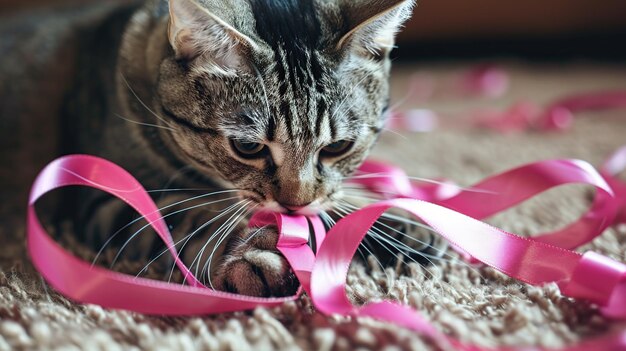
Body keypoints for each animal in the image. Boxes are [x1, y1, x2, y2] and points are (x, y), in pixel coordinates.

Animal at [0, 0, 442, 298]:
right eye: (247, 147)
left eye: (339, 146)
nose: (294, 204)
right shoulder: (99, 195)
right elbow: (195, 217)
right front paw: (255, 259)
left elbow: (336, 203)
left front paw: (393, 223)